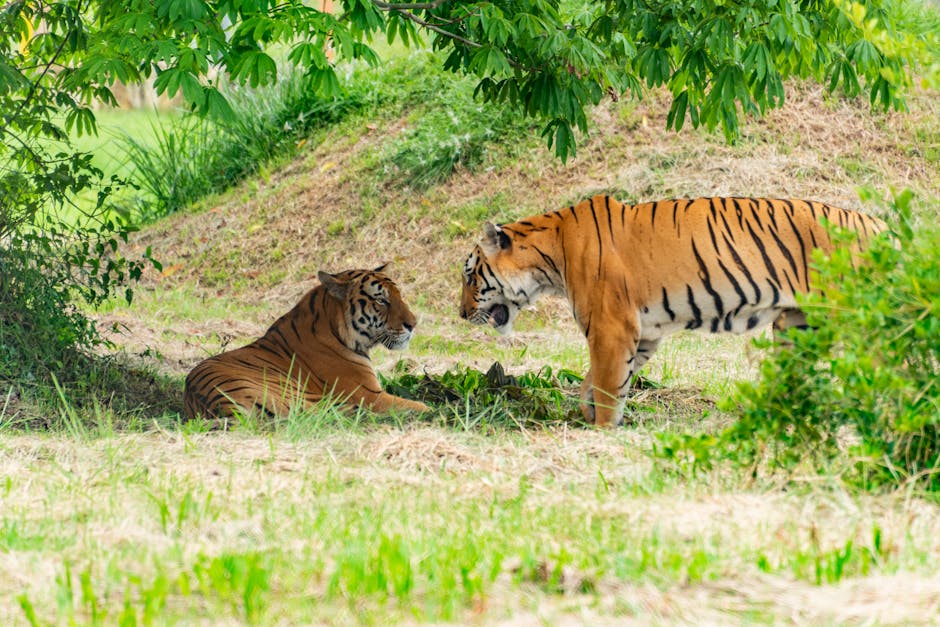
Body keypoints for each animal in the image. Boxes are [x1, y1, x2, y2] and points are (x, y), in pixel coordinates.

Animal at [184, 265, 430, 420]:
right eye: (381, 301)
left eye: (399, 296)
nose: (413, 324)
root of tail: (221, 406)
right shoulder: (370, 395)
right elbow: (416, 404)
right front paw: (429, 408)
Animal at [459, 195, 887, 427]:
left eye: (469, 275)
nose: (462, 314)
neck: (551, 255)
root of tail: (878, 224)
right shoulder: (643, 332)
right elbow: (604, 380)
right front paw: (588, 412)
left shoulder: (611, 326)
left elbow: (607, 382)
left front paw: (601, 429)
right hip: (797, 325)